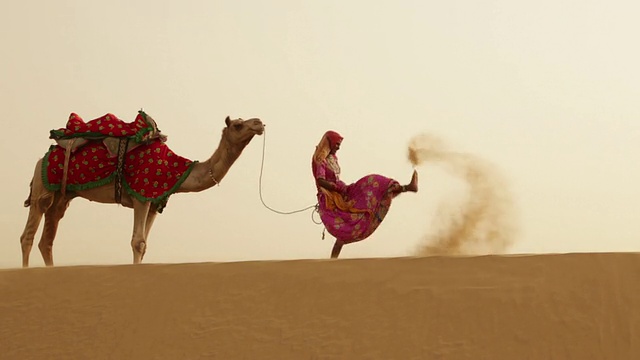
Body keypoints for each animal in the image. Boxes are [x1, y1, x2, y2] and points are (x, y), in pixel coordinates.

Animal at [19, 115, 264, 268]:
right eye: (238, 125)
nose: (259, 123)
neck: (175, 170)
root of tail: (43, 156)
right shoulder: (141, 195)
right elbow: (138, 242)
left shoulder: (154, 202)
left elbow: (145, 244)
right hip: (43, 186)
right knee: (29, 234)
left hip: (63, 194)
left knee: (48, 236)